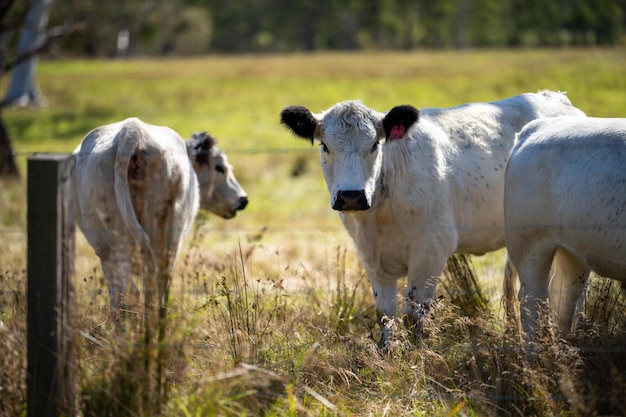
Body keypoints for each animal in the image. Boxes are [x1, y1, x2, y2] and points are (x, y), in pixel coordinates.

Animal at [73, 118, 246, 324]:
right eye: (220, 167)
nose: (243, 199)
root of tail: (132, 130)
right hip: (166, 233)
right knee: (156, 285)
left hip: (109, 244)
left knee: (124, 295)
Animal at [280, 92, 584, 348]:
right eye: (324, 145)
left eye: (375, 144)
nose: (351, 196)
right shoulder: (370, 256)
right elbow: (385, 314)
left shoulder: (432, 250)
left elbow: (414, 311)